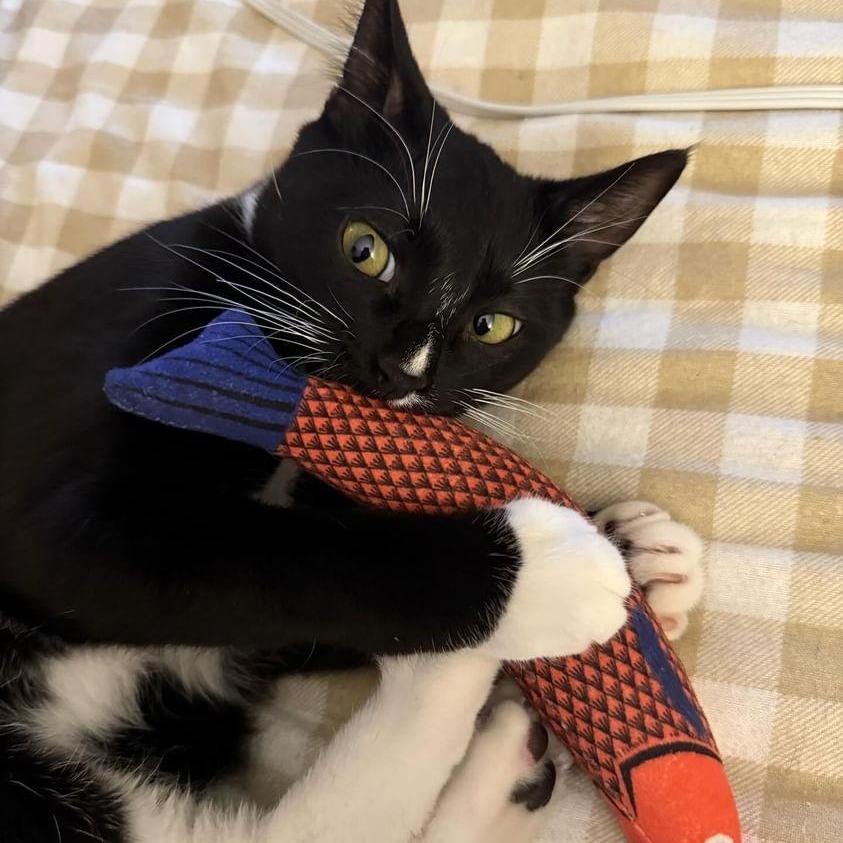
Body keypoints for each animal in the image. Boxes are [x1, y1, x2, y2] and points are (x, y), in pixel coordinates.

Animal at [0, 1, 704, 843]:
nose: (401, 370)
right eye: (363, 249)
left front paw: (636, 550)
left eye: (492, 325)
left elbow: (305, 593)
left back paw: (505, 768)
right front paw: (555, 572)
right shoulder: (64, 522)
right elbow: (293, 561)